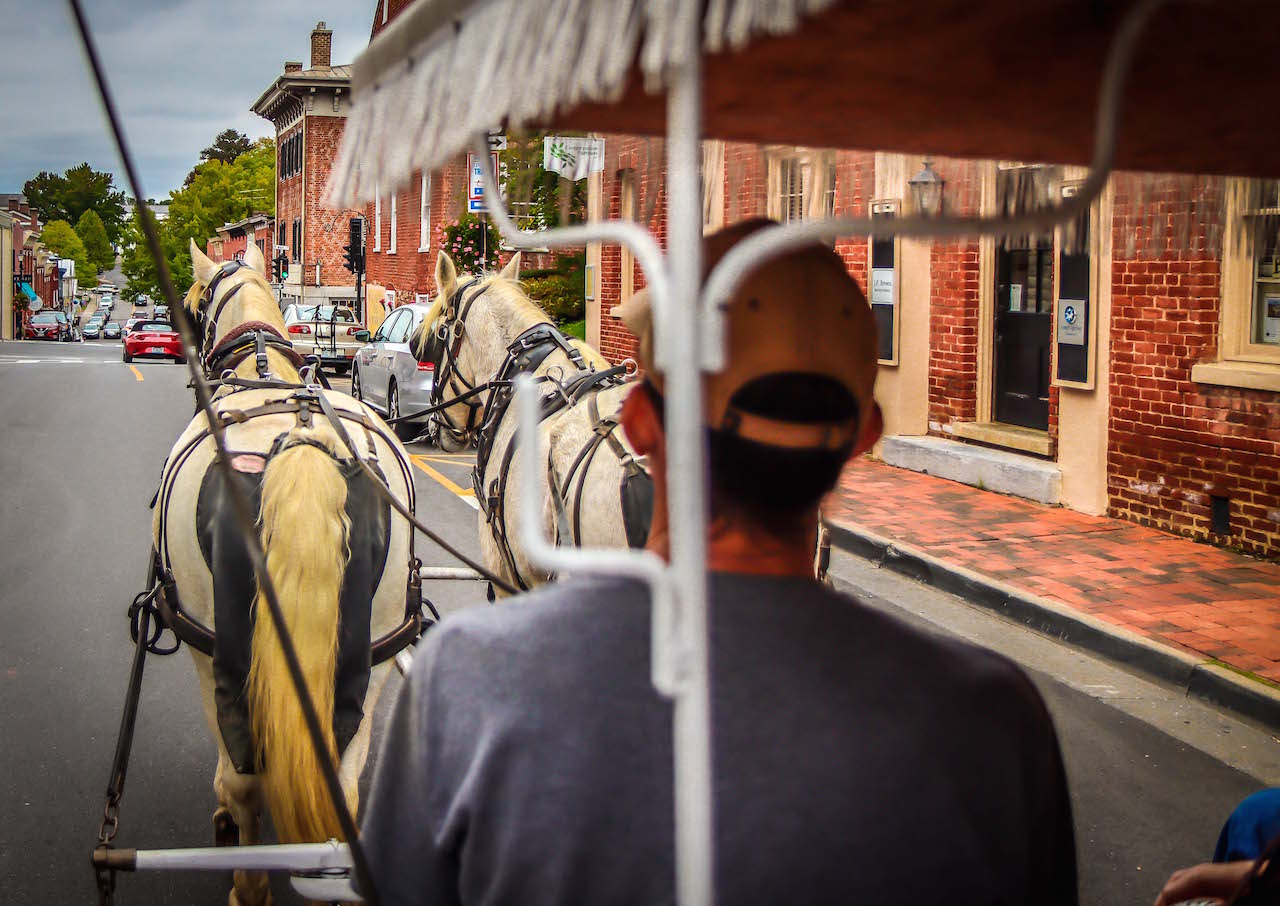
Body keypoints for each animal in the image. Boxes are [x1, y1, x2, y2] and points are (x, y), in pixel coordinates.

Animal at [154, 239, 414, 906]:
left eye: (191, 302)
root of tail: (301, 446)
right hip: (372, 649)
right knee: (343, 787)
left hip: (212, 646)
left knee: (240, 780)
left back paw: (246, 881)